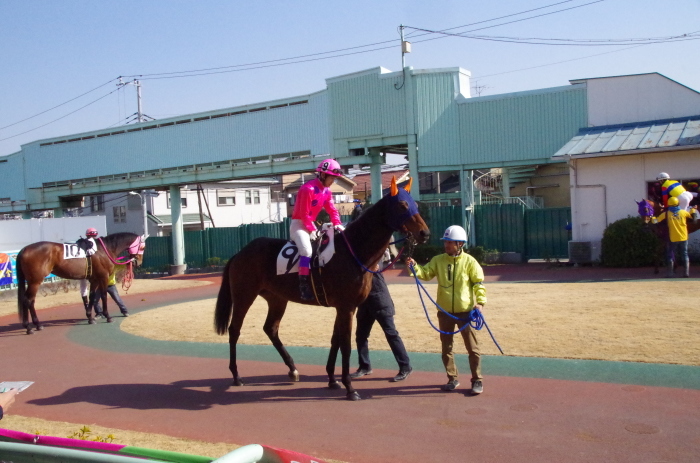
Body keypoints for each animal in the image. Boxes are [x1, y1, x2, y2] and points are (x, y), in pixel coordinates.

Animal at [15, 234, 144, 336]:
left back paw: (34, 325)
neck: (104, 250)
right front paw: (107, 316)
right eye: (143, 246)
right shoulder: (103, 277)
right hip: (35, 281)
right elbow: (103, 296)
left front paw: (90, 318)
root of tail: (24, 250)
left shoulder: (94, 279)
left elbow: (92, 297)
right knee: (28, 300)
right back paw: (30, 327)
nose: (138, 262)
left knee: (29, 301)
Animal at [215, 176, 432, 400]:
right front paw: (349, 387)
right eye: (403, 205)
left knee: (271, 328)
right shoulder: (346, 307)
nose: (424, 233)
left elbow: (335, 340)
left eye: (415, 205)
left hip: (277, 298)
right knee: (234, 329)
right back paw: (236, 375)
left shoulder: (342, 307)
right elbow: (345, 344)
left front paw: (332, 379)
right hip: (244, 296)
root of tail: (240, 253)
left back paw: (292, 369)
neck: (353, 251)